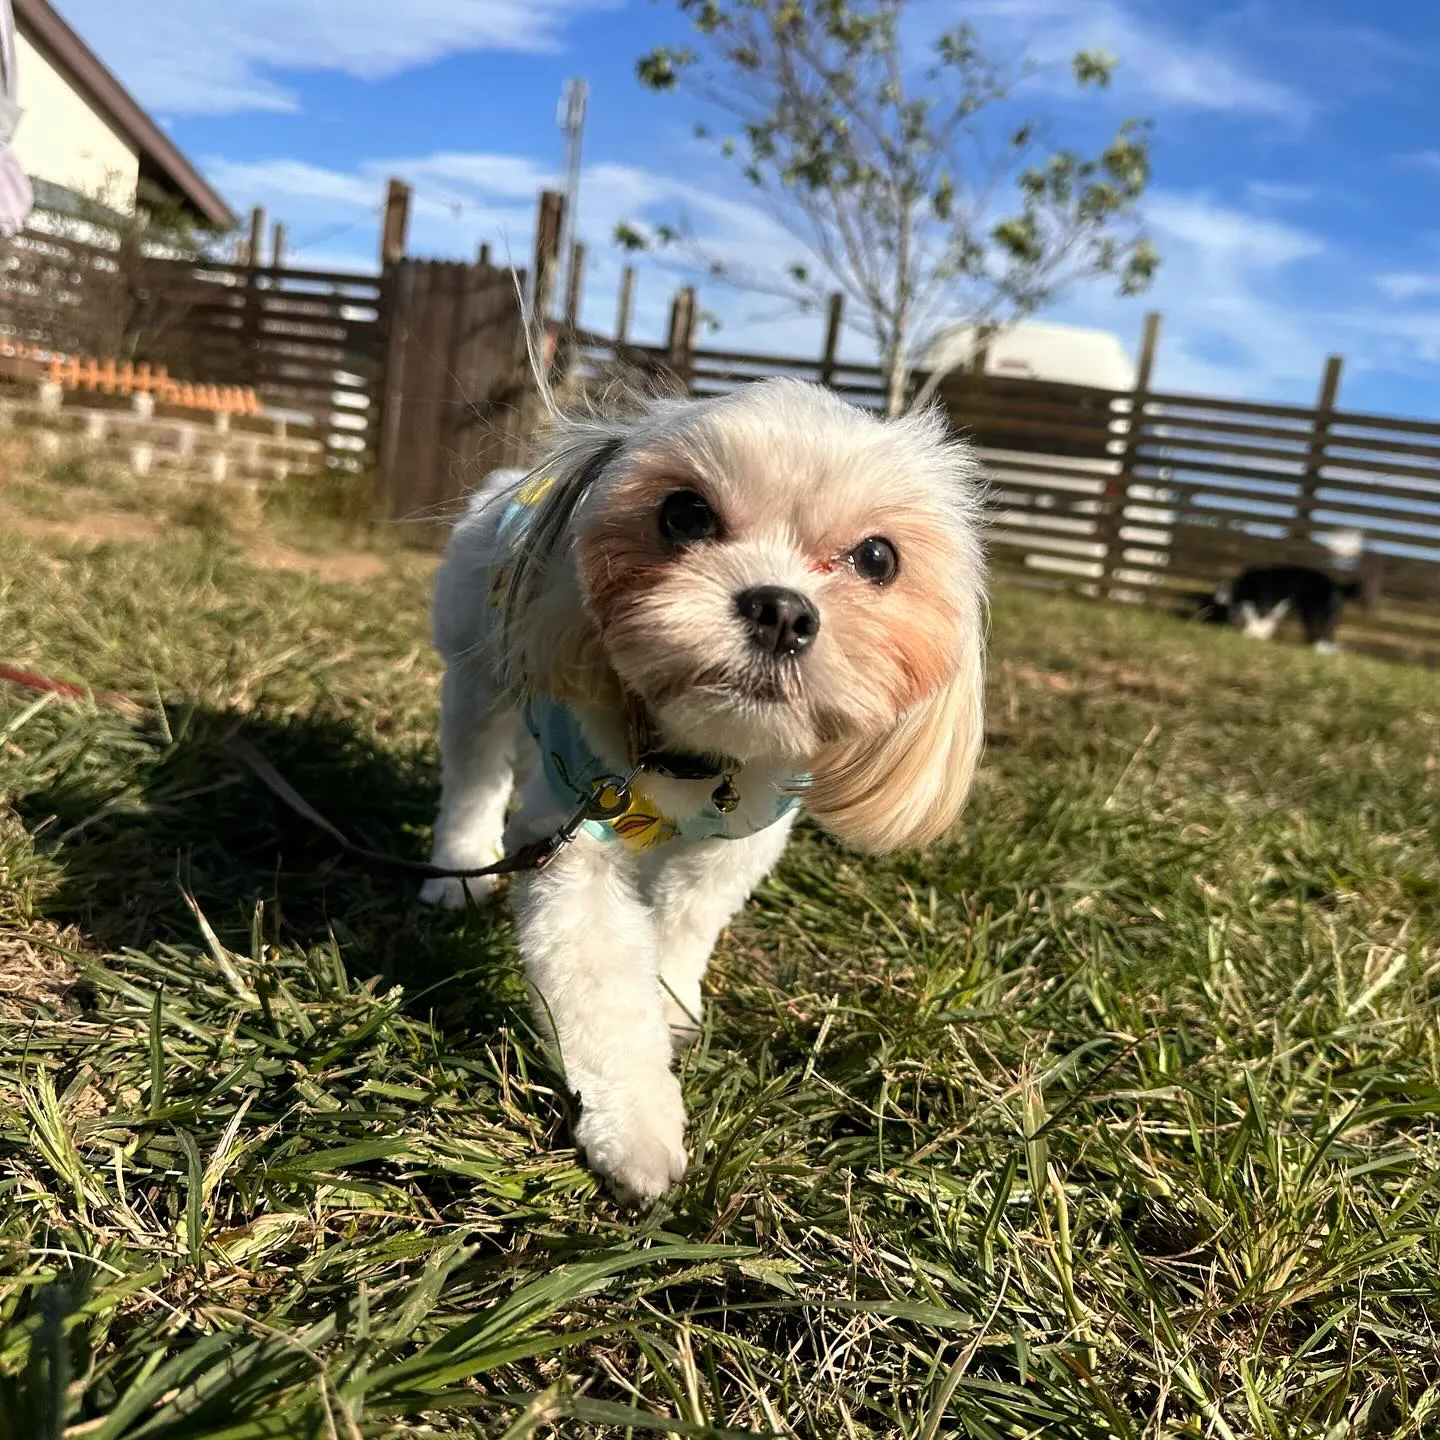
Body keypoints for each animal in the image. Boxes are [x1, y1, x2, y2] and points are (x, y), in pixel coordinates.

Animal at [420, 383, 984, 1203]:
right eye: (684, 514)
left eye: (879, 557)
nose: (781, 609)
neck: (692, 758)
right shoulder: (576, 840)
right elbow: (600, 981)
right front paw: (638, 1132)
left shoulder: (738, 843)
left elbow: (686, 923)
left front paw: (674, 999)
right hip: (479, 666)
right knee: (473, 772)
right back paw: (457, 872)